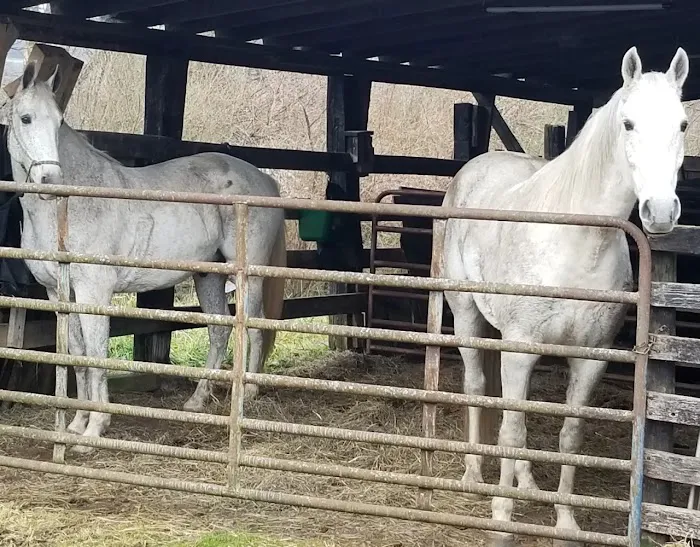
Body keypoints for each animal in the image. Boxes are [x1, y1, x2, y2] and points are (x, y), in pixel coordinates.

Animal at [2, 61, 287, 448]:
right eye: (26, 118)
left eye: (59, 122)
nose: (51, 179)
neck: (69, 208)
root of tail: (266, 181)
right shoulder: (59, 293)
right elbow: (78, 356)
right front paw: (76, 425)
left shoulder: (94, 291)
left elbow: (97, 357)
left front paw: (95, 430)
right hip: (209, 277)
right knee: (219, 332)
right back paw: (197, 400)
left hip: (249, 276)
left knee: (254, 329)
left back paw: (250, 393)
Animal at [439, 46, 688, 547]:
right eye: (628, 123)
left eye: (683, 124)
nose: (660, 212)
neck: (576, 239)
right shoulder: (519, 349)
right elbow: (513, 430)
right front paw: (502, 521)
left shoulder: (591, 357)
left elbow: (569, 438)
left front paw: (566, 523)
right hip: (467, 316)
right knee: (476, 387)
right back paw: (475, 476)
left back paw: (527, 483)